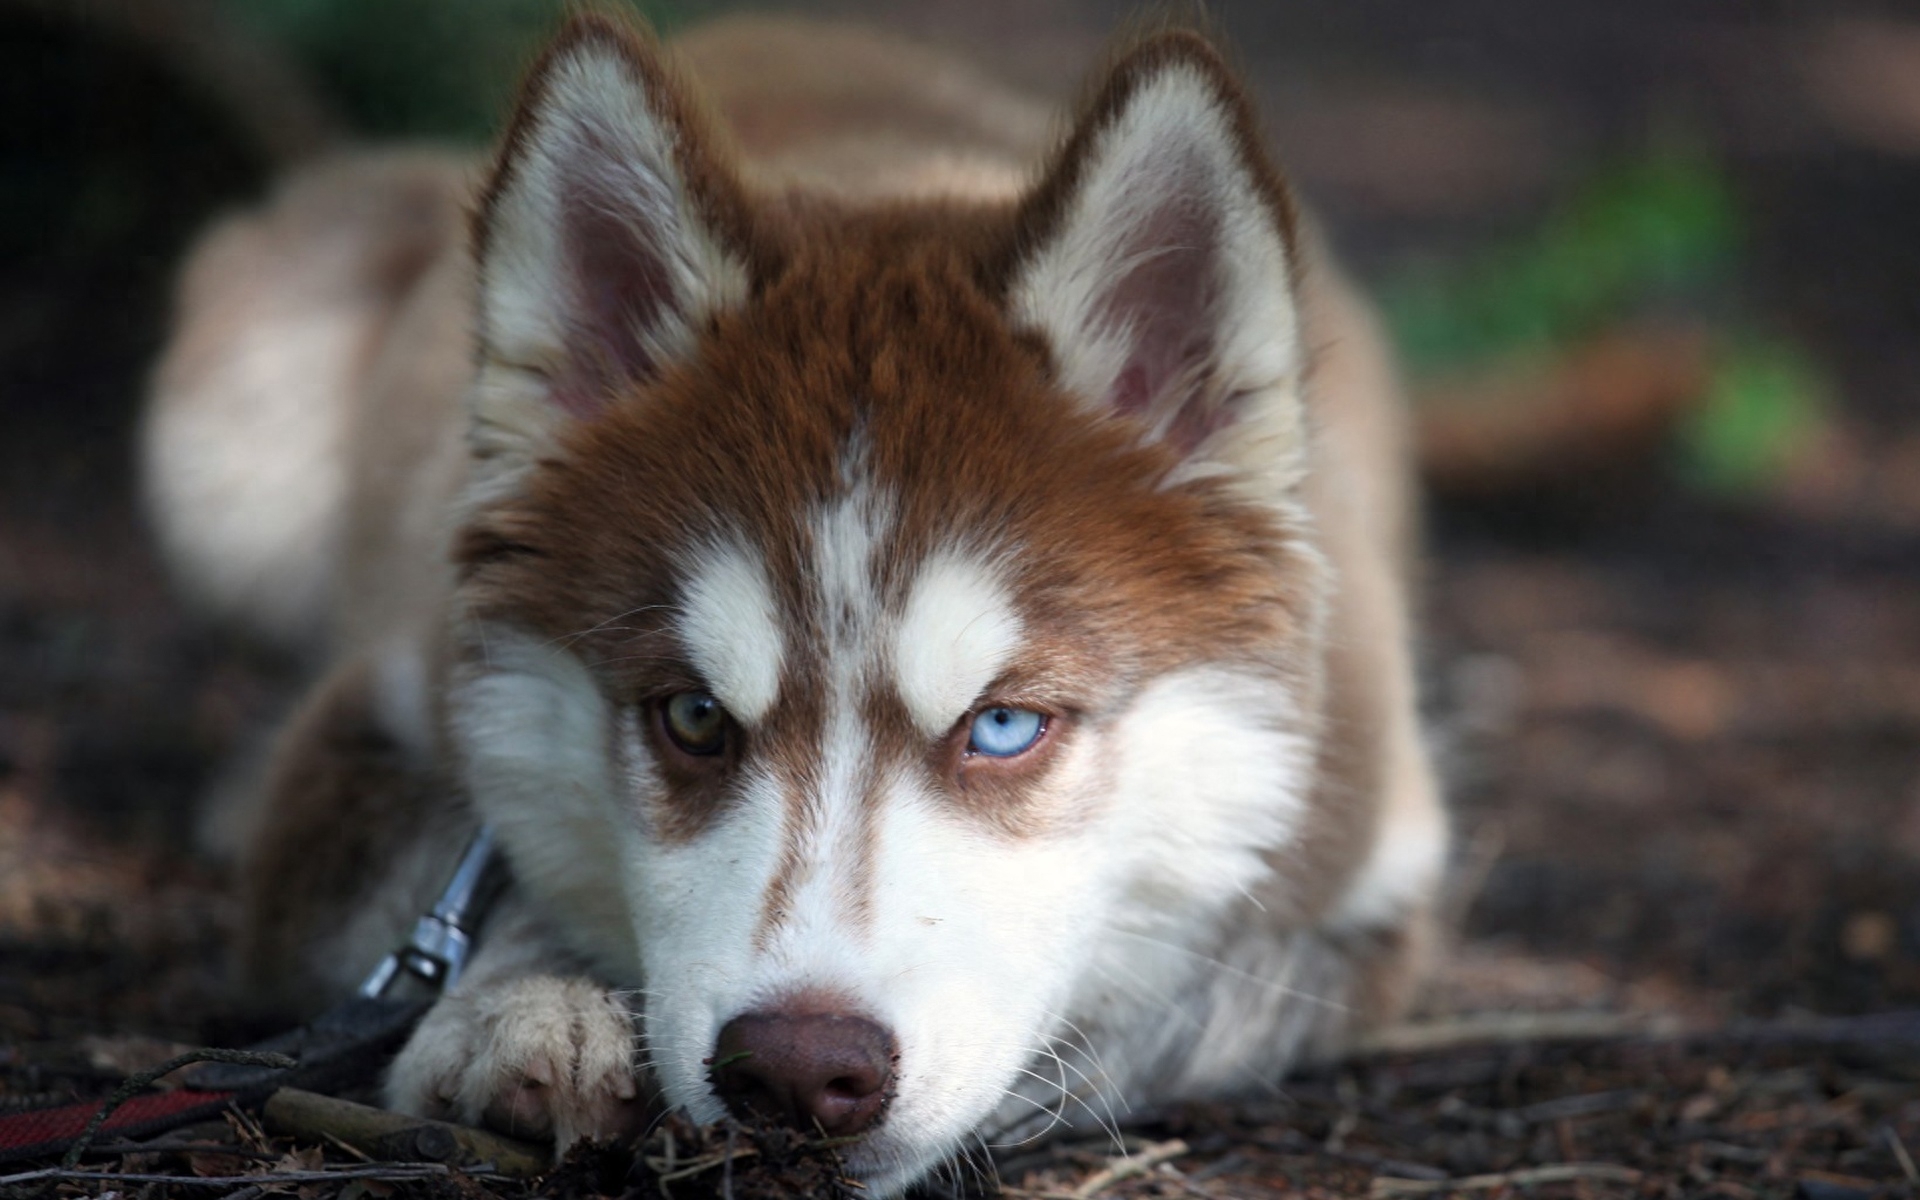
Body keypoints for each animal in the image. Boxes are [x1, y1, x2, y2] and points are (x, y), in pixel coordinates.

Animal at [142, 14, 1443, 1190]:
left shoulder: (1371, 863)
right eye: (692, 716)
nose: (799, 1072)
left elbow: (1205, 993)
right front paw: (520, 1009)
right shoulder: (376, 738)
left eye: (1005, 725)